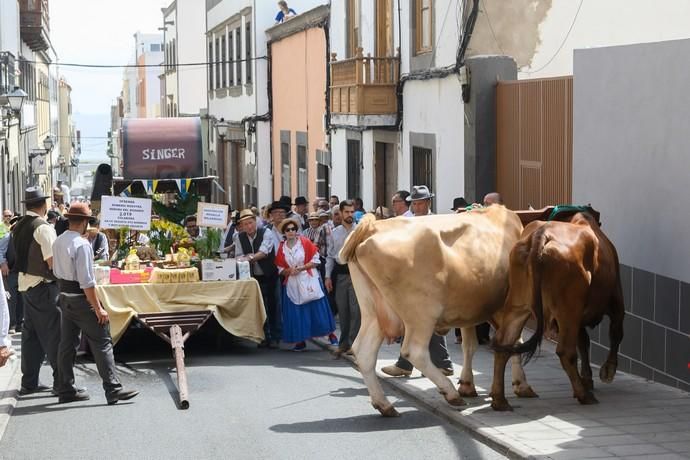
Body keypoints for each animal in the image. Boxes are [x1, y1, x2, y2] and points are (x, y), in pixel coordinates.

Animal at [342, 205, 536, 416]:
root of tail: (373, 227)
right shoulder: (508, 307)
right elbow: (514, 342)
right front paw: (522, 385)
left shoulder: (468, 310)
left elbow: (470, 345)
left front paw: (467, 384)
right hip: (421, 314)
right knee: (414, 351)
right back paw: (450, 392)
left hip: (374, 311)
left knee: (364, 352)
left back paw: (384, 405)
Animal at [490, 211, 624, 410]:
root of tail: (541, 235)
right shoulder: (616, 299)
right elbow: (615, 333)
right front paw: (607, 371)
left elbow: (583, 342)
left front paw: (588, 378)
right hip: (569, 308)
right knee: (566, 351)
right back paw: (584, 395)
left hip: (518, 305)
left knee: (503, 343)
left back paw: (500, 400)